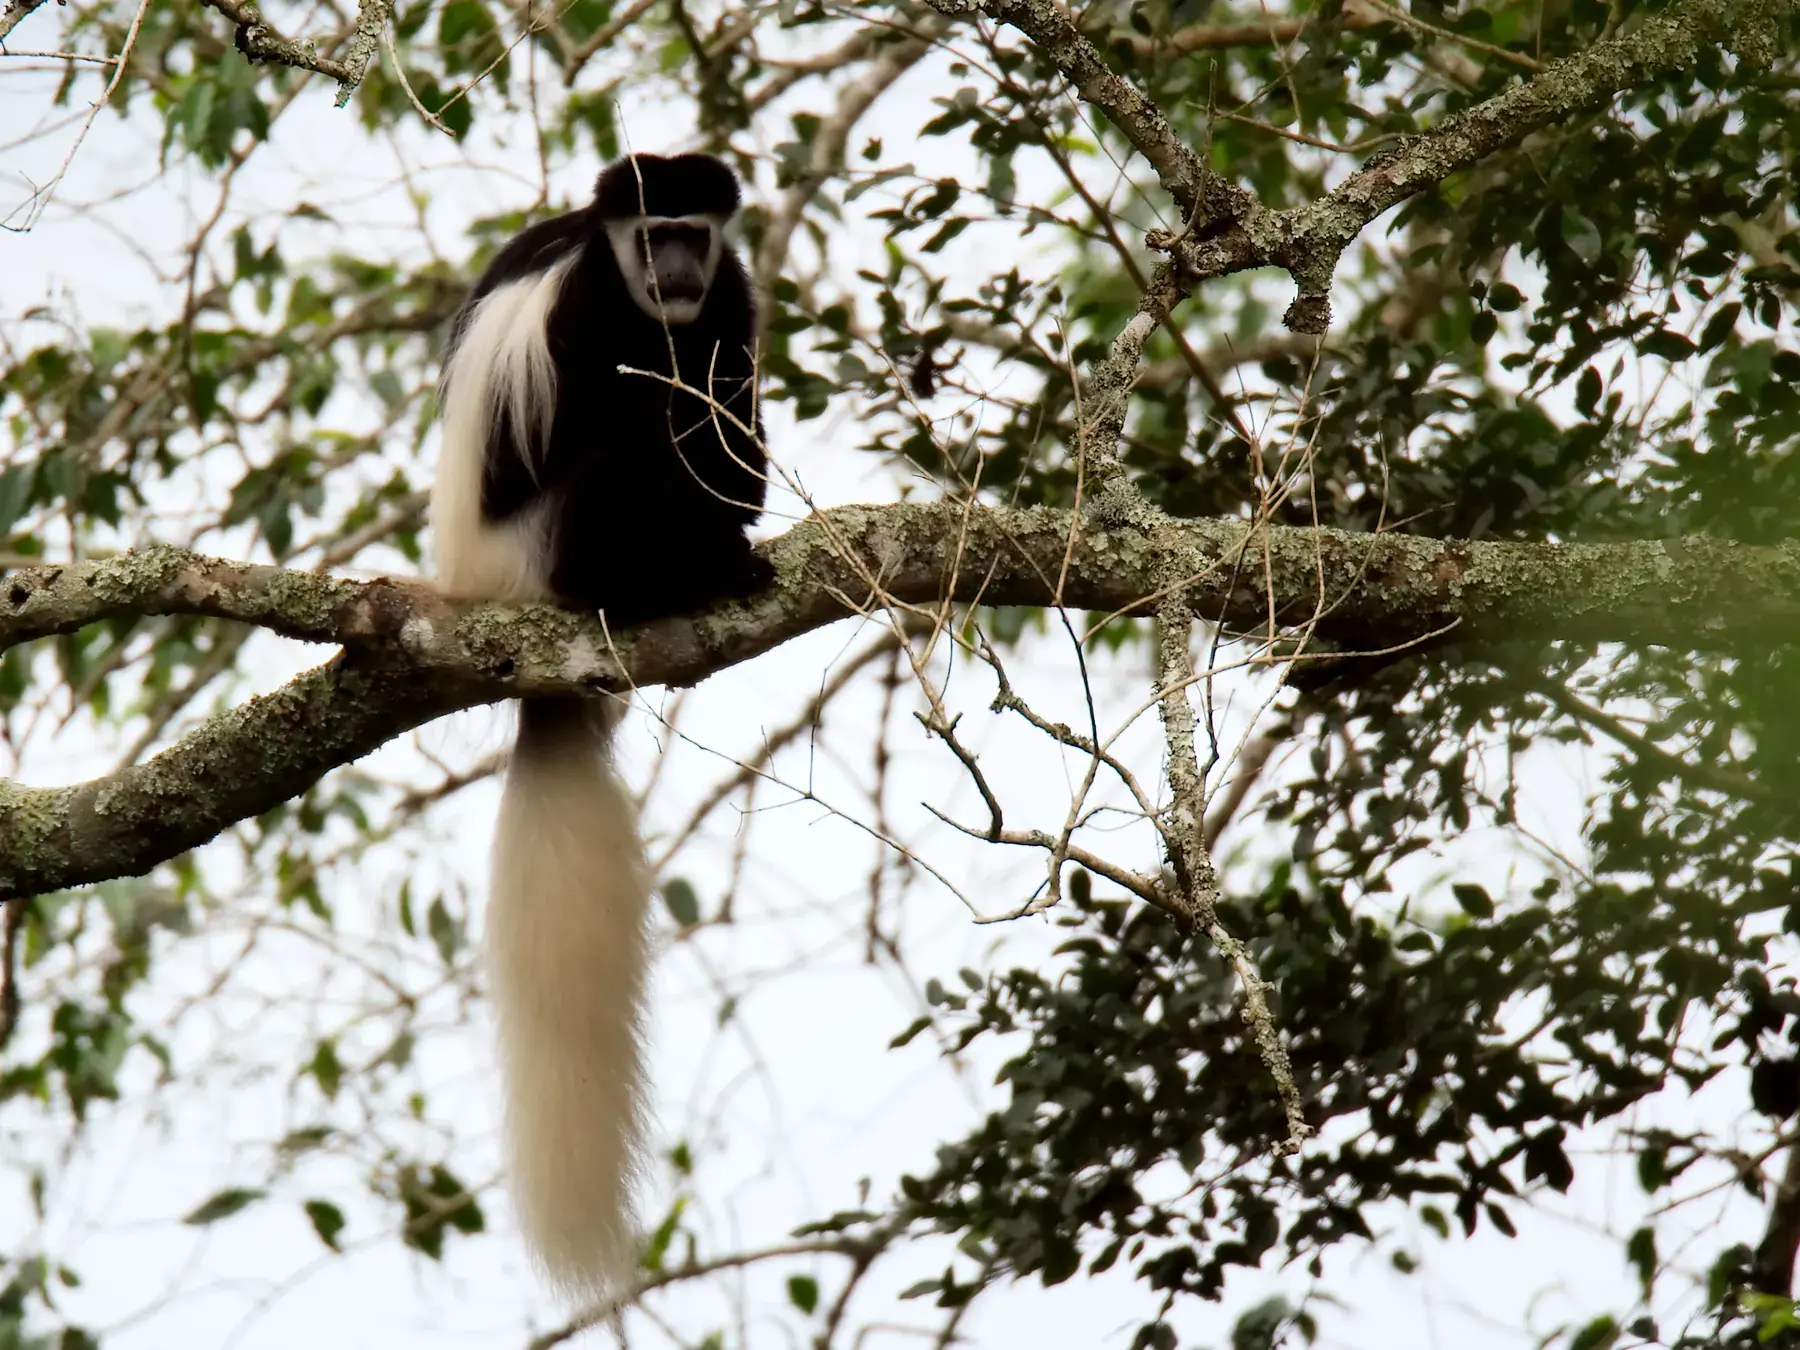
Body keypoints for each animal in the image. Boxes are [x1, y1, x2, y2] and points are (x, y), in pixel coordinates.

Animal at [430, 152, 772, 1301]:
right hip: (546, 546)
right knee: (624, 437)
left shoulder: (734, 295)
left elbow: (735, 423)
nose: (675, 272)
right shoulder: (580, 305)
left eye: (693, 235)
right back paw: (673, 574)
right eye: (651, 234)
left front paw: (739, 513)